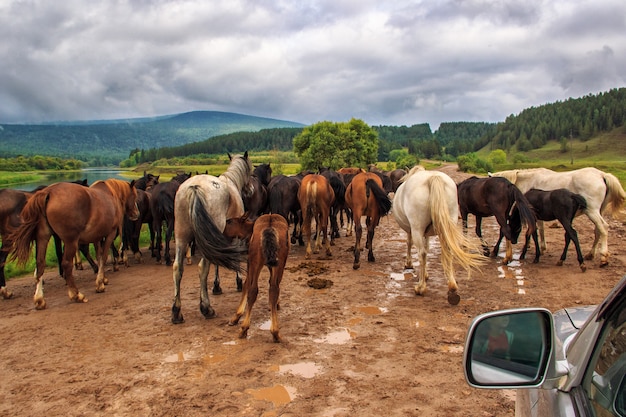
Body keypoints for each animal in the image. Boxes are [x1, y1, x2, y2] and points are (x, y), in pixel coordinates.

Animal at [9, 179, 138, 308]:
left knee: (40, 264)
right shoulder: (110, 233)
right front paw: (100, 284)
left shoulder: (96, 237)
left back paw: (39, 299)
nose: (137, 213)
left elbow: (99, 256)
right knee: (66, 264)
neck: (111, 194)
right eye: (134, 195)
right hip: (70, 241)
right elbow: (104, 257)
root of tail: (48, 192)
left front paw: (103, 279)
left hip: (42, 238)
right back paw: (76, 294)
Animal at [169, 151, 252, 324]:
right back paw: (206, 308)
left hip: (181, 236)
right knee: (203, 267)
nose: (251, 189)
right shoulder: (234, 236)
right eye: (251, 169)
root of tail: (194, 187)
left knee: (177, 268)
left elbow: (217, 262)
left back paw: (177, 312)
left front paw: (217, 286)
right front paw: (238, 282)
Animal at [224, 214, 290, 342]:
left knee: (255, 289)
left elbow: (246, 285)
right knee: (272, 289)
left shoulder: (250, 262)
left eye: (229, 222)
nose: (223, 234)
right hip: (276, 263)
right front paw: (274, 305)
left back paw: (245, 329)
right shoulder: (270, 264)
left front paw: (236, 316)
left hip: (256, 262)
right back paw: (274, 332)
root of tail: (269, 225)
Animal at [390, 166, 482, 306]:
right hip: (448, 223)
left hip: (417, 228)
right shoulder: (427, 233)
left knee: (421, 253)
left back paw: (420, 288)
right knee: (447, 251)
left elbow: (410, 244)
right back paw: (452, 287)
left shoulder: (412, 230)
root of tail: (433, 177)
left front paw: (409, 264)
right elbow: (427, 248)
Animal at [492, 167, 624, 266]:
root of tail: (602, 175)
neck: (528, 181)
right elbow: (540, 230)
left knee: (603, 228)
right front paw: (541, 248)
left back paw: (603, 257)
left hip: (592, 211)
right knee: (598, 231)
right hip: (598, 211)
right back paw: (591, 254)